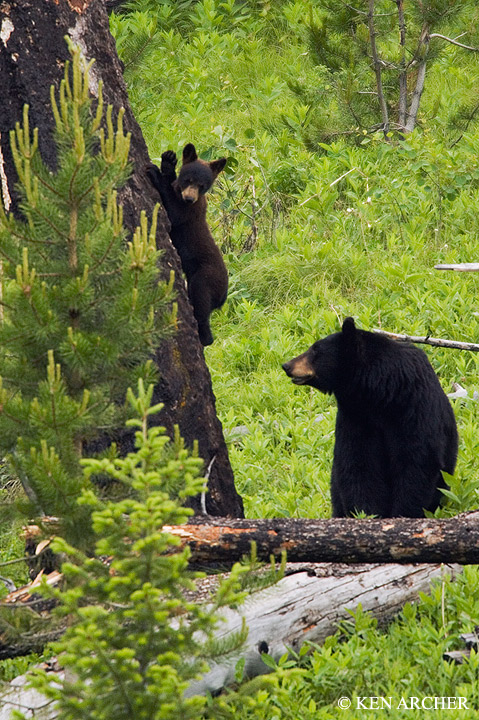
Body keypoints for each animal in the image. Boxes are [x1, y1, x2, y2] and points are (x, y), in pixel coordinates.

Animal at [147, 143, 228, 346]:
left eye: (202, 185)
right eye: (188, 179)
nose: (190, 198)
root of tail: (224, 296)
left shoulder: (190, 211)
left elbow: (174, 214)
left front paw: (156, 173)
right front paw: (168, 161)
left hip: (205, 278)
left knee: (201, 304)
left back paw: (203, 337)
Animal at [282, 317, 458, 518]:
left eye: (315, 350)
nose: (287, 365)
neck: (382, 395)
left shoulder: (415, 408)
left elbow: (417, 462)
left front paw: (403, 513)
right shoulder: (356, 416)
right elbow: (358, 464)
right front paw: (367, 514)